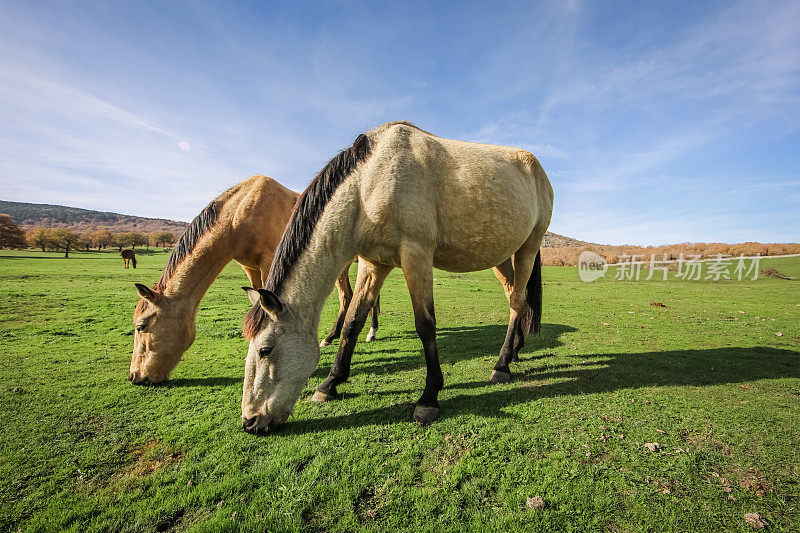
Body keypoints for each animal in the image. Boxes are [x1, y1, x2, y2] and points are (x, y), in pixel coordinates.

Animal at [128, 177, 382, 384]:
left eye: (141, 326)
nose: (135, 376)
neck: (237, 215)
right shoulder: (249, 266)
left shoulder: (269, 261)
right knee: (349, 297)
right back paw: (332, 337)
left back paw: (370, 332)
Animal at [239, 121, 552, 432]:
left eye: (265, 349)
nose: (250, 421)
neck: (368, 184)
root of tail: (536, 169)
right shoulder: (373, 264)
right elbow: (353, 321)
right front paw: (330, 384)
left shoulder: (417, 256)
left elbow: (425, 325)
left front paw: (429, 398)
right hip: (502, 256)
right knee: (514, 296)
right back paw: (515, 350)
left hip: (529, 246)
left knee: (517, 300)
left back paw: (502, 365)